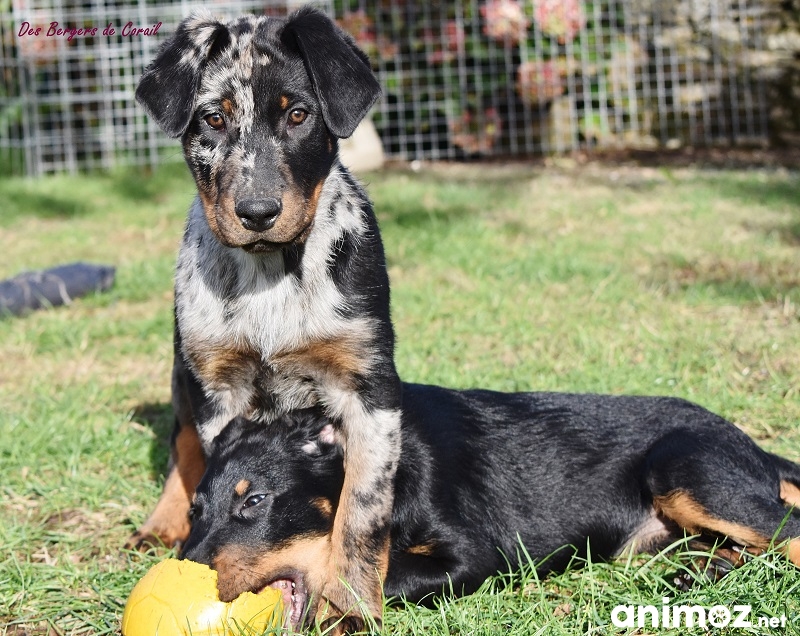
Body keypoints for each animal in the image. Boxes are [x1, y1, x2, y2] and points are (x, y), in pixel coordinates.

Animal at [129, 7, 402, 630]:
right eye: (212, 118)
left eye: (298, 115)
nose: (257, 212)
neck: (271, 274)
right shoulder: (216, 384)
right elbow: (210, 470)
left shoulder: (370, 386)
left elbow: (361, 508)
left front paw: (349, 606)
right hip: (183, 367)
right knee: (180, 438)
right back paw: (159, 522)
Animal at [181, 383, 800, 632]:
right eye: (195, 510)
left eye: (256, 500)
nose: (184, 574)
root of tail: (754, 448)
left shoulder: (477, 555)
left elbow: (375, 576)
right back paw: (702, 572)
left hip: (681, 466)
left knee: (786, 528)